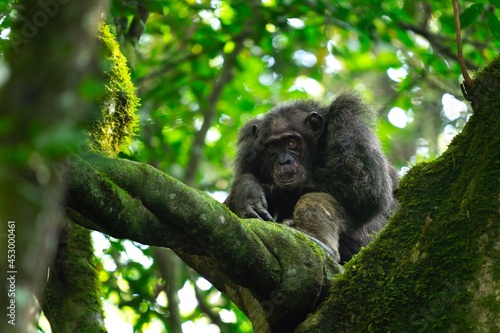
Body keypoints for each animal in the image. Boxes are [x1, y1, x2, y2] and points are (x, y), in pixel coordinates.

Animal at [223, 91, 398, 262]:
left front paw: (253, 189)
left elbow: (362, 182)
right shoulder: (249, 148)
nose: (283, 161)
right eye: (272, 147)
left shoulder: (348, 118)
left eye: (291, 142)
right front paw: (245, 189)